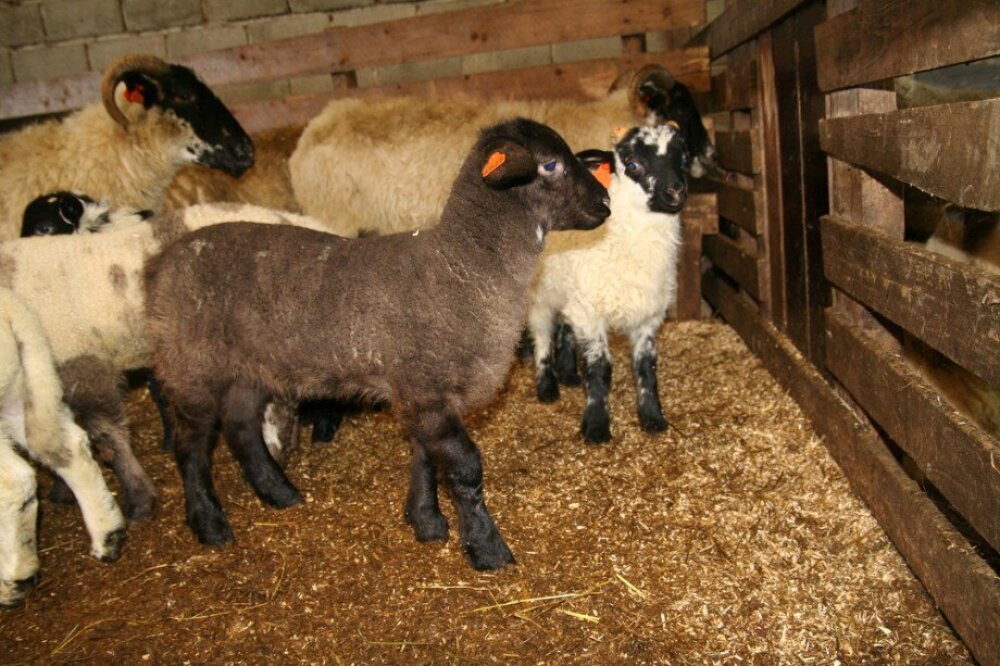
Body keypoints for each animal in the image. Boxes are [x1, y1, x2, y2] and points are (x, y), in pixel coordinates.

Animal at [0, 288, 125, 606]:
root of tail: (12, 311)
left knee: (14, 481)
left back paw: (16, 578)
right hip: (21, 386)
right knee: (67, 448)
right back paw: (108, 535)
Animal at [143, 118, 611, 570]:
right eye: (550, 164)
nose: (606, 202)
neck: (460, 266)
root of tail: (160, 263)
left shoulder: (420, 393)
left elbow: (425, 456)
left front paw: (426, 521)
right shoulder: (425, 388)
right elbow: (464, 467)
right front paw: (486, 549)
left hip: (249, 367)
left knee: (240, 427)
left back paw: (279, 493)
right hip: (190, 364)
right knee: (191, 445)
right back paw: (210, 524)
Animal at [528, 123, 691, 444]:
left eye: (682, 157)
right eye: (632, 165)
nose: (676, 191)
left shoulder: (647, 315)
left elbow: (646, 367)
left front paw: (652, 417)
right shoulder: (591, 313)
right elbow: (600, 369)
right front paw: (596, 424)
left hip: (572, 291)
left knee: (565, 327)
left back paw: (568, 373)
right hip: (540, 294)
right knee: (542, 334)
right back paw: (548, 386)